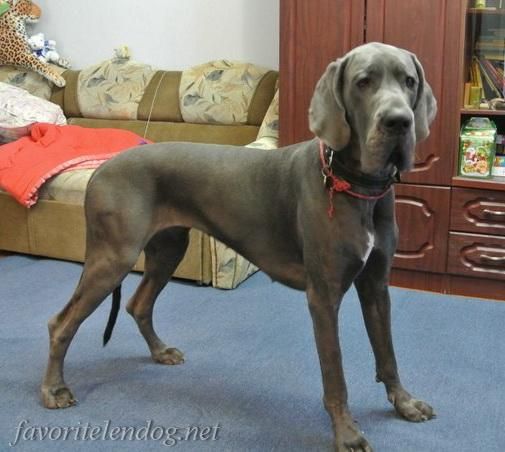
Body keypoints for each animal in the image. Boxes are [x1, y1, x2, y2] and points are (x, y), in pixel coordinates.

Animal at [41, 42, 437, 452]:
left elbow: (387, 353)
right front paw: (347, 433)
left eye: (408, 81)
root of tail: (101, 169)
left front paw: (404, 403)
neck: (355, 186)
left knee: (138, 304)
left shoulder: (376, 286)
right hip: (113, 257)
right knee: (61, 322)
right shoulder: (323, 296)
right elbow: (335, 375)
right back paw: (54, 389)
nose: (399, 122)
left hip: (168, 249)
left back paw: (160, 351)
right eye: (363, 82)